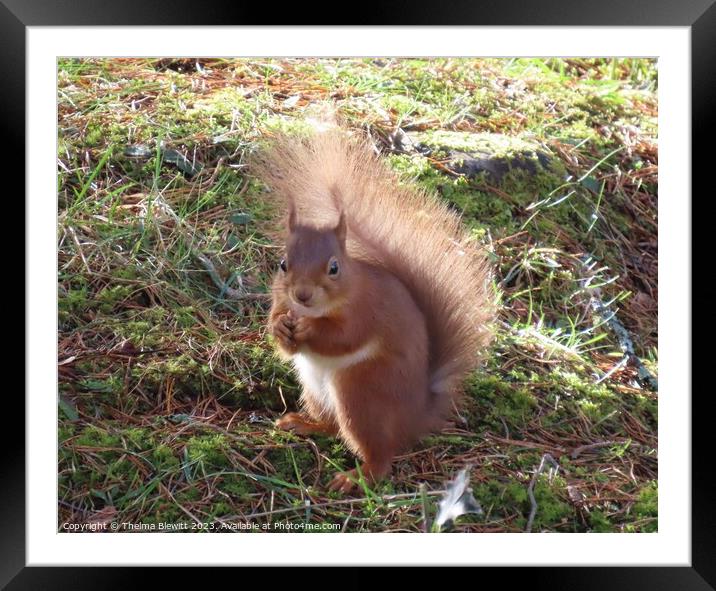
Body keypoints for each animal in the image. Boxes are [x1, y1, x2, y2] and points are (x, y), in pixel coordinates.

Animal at [255, 130, 496, 494]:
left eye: (334, 268)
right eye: (283, 264)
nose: (302, 295)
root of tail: (416, 416)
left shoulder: (366, 310)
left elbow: (344, 337)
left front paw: (310, 330)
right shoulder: (281, 299)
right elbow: (282, 337)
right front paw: (281, 328)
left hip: (361, 392)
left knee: (379, 456)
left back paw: (355, 477)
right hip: (315, 390)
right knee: (333, 426)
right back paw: (303, 424)